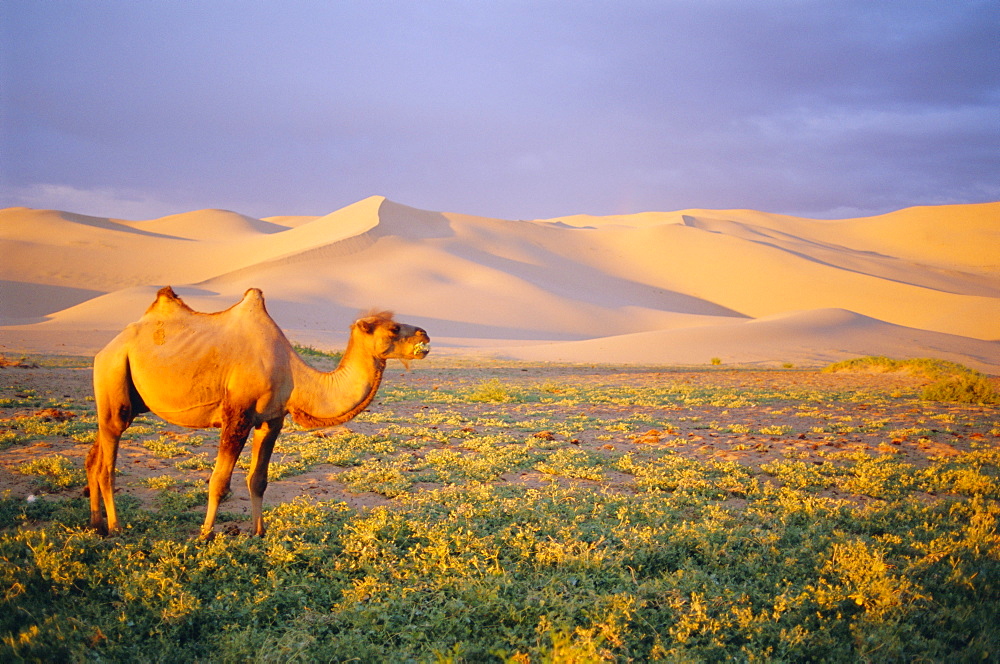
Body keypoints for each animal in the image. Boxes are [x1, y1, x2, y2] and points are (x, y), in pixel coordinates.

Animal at [86, 288, 430, 536]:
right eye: (394, 328)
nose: (425, 334)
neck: (293, 373)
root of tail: (106, 348)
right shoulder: (237, 416)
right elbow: (220, 481)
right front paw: (205, 535)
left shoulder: (271, 420)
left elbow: (258, 479)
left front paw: (258, 532)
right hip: (114, 375)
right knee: (107, 463)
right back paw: (115, 527)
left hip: (128, 398)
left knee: (94, 457)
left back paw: (96, 524)